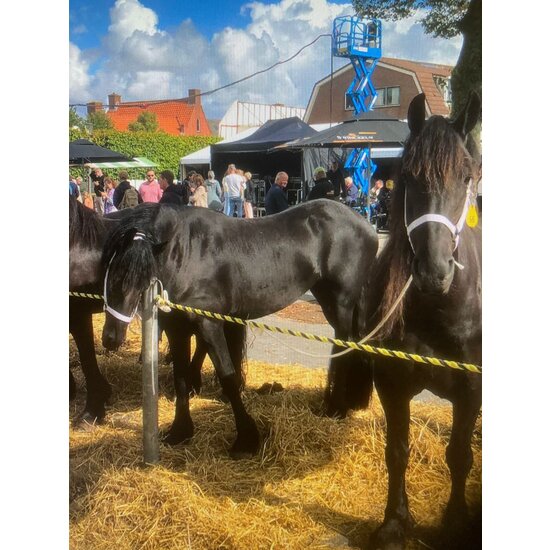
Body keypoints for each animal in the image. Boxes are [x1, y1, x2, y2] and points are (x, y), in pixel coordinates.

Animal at [101, 201, 382, 460]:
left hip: (341, 301)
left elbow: (229, 377)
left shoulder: (210, 325)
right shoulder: (177, 330)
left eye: (136, 278)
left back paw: (336, 409)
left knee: (346, 347)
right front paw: (180, 431)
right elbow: (180, 379)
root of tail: (366, 226)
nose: (110, 338)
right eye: (110, 273)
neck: (188, 254)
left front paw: (246, 440)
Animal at [328, 92, 484, 548]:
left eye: (467, 176)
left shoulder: (471, 390)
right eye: (410, 176)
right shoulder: (393, 384)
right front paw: (395, 522)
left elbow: (459, 456)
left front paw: (455, 521)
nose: (434, 271)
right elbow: (397, 452)